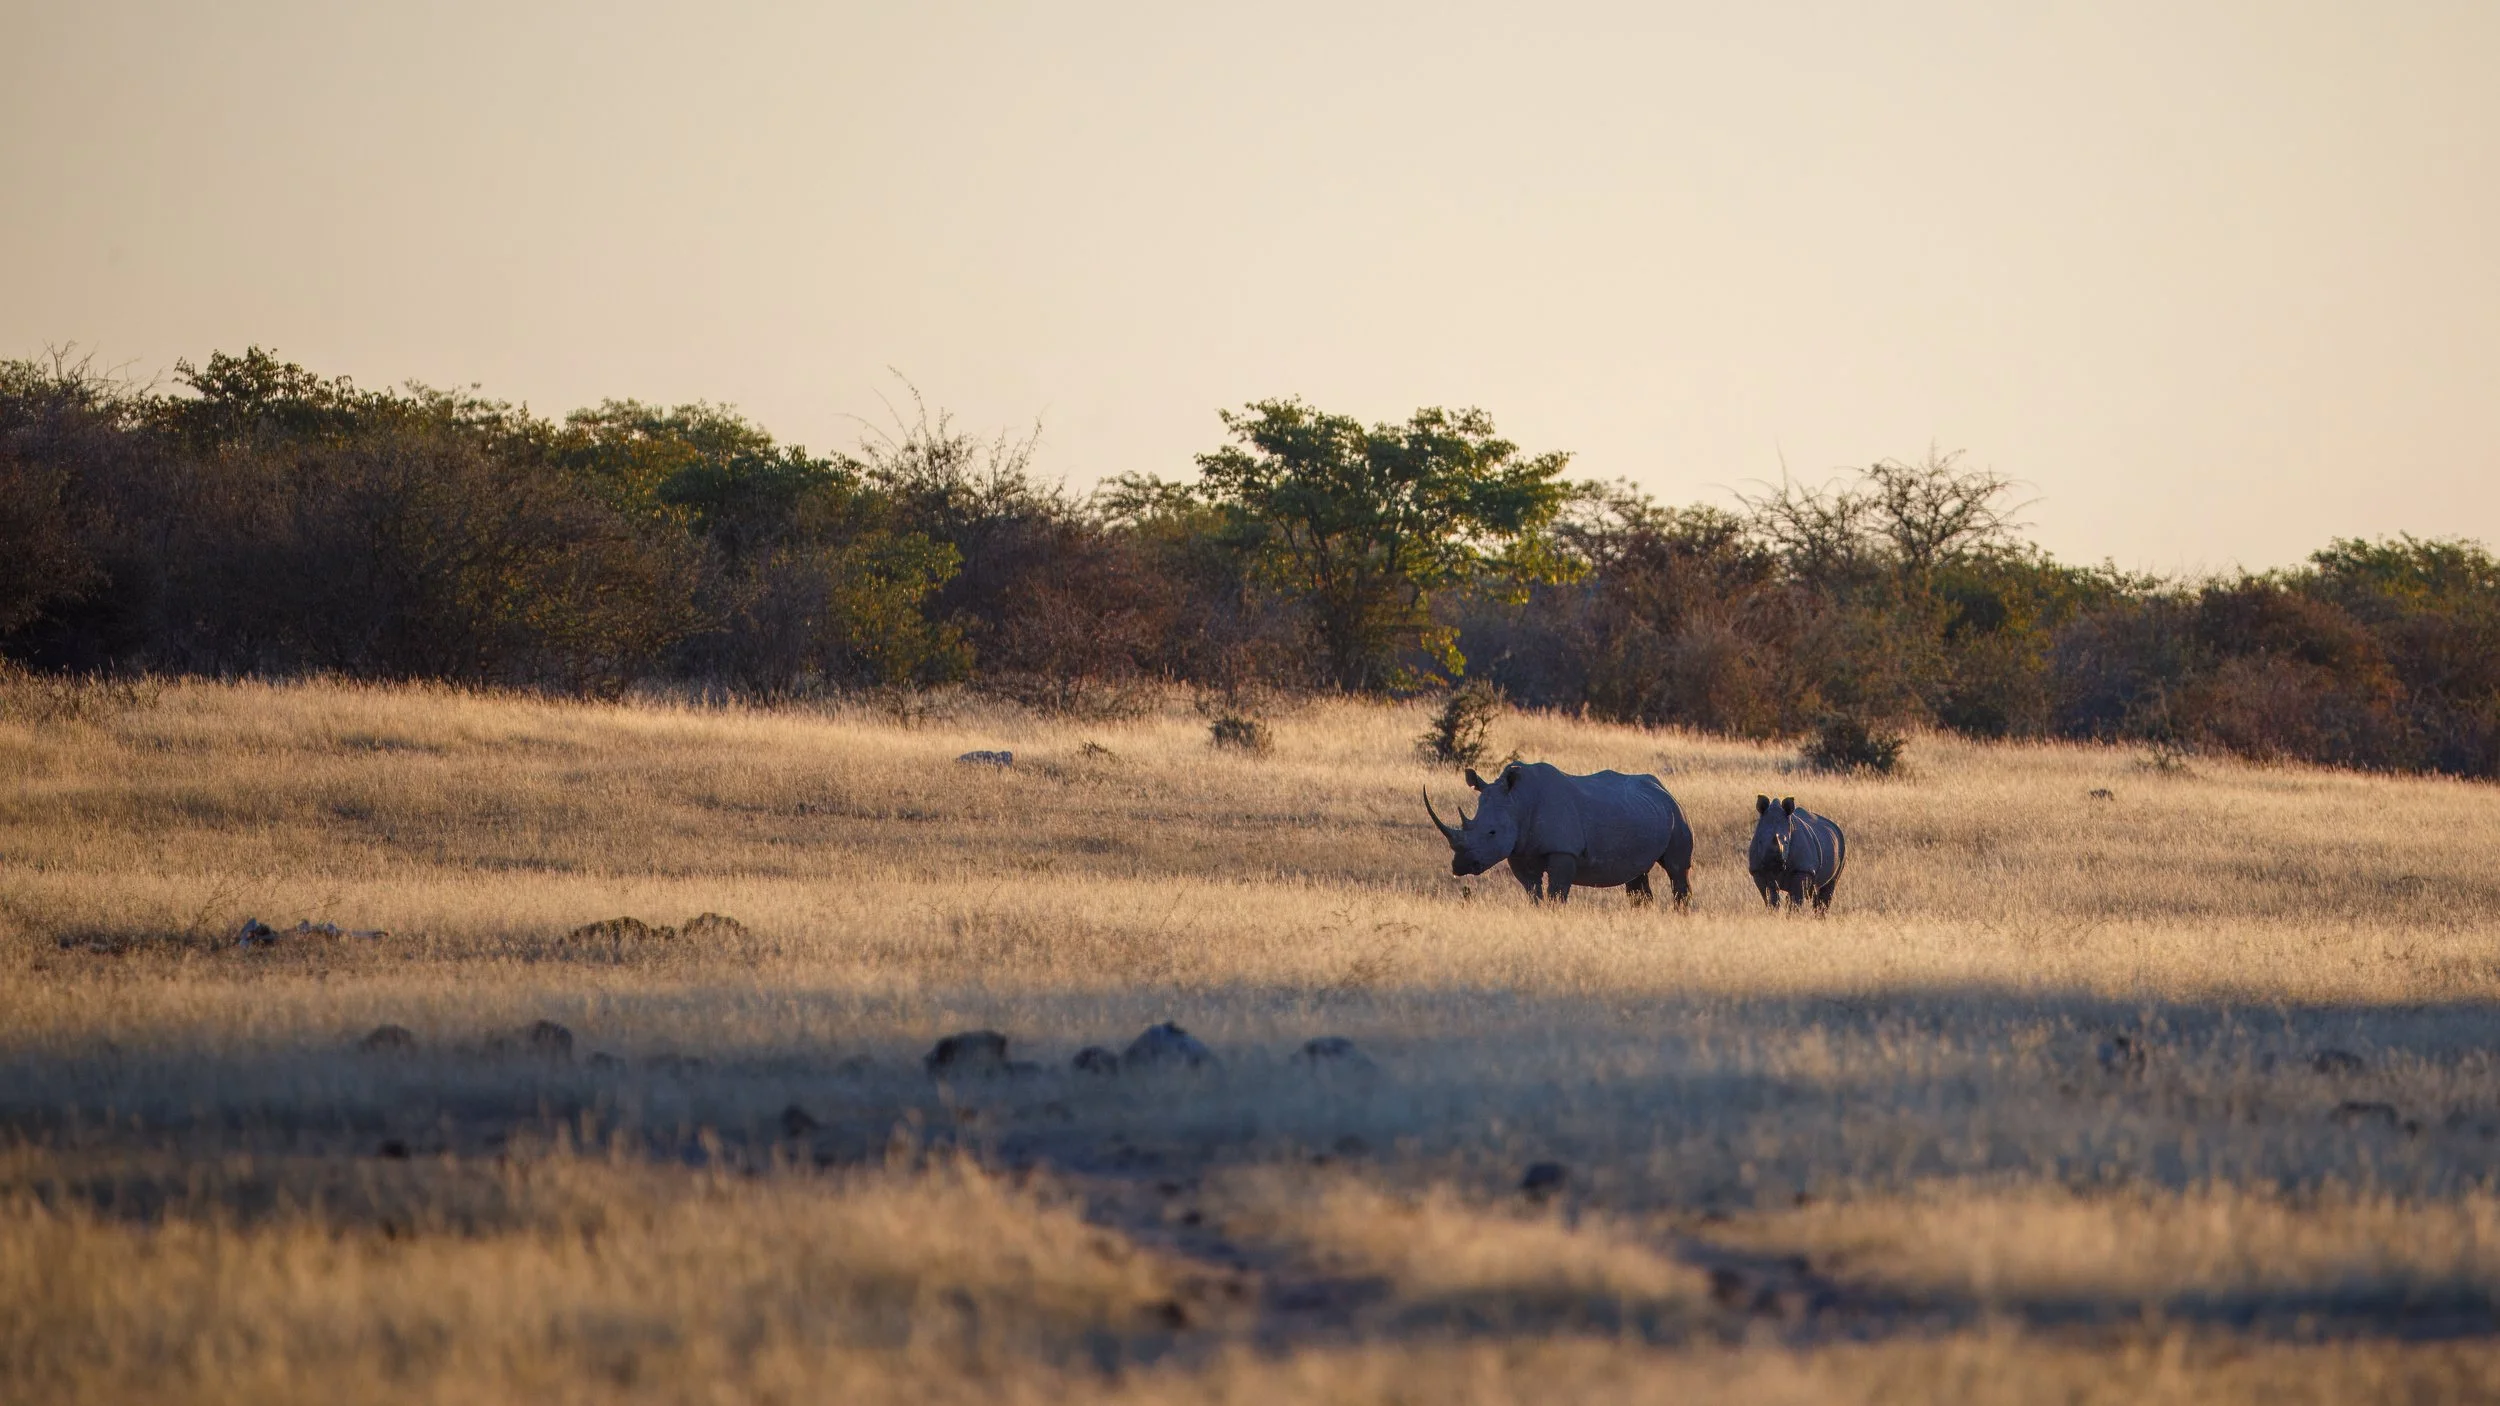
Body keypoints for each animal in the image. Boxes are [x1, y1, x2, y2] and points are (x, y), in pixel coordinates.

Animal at [1424, 761, 1694, 907]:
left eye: (1492, 832)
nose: (1460, 866)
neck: (1518, 801)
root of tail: (1662, 788)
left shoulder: (1564, 851)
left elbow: (1556, 892)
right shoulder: (1519, 851)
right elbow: (1532, 891)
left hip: (1676, 813)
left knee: (1676, 869)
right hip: (1639, 811)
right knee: (1637, 875)